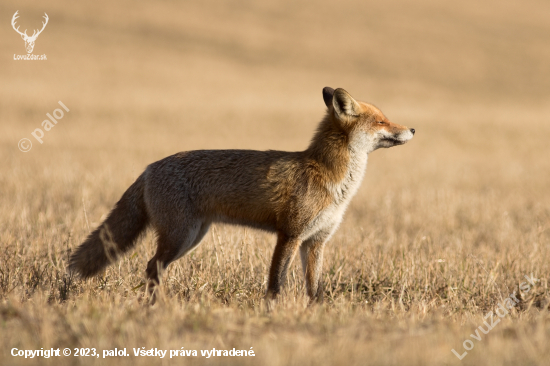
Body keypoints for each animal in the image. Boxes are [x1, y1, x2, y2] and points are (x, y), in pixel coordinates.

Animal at [69, 87, 414, 302]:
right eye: (381, 121)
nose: (412, 129)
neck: (331, 178)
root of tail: (149, 167)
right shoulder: (289, 235)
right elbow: (276, 284)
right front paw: (271, 314)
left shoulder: (315, 242)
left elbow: (314, 290)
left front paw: (316, 314)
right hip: (180, 237)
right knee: (152, 266)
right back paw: (156, 306)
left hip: (191, 237)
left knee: (154, 268)